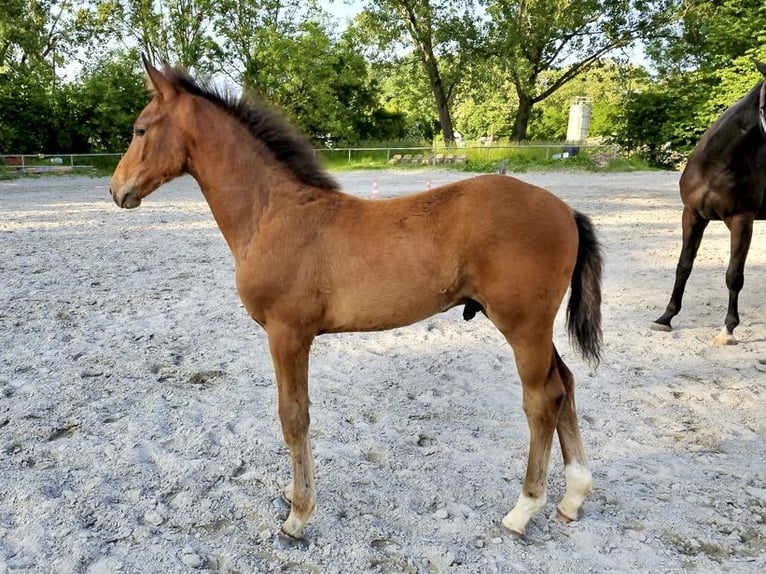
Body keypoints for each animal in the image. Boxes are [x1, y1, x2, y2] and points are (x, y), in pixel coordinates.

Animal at [109, 56, 608, 544]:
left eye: (139, 129)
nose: (117, 190)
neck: (272, 214)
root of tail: (566, 210)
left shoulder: (287, 334)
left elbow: (293, 417)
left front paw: (298, 515)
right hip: (533, 328)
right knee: (565, 384)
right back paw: (572, 498)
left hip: (523, 326)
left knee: (542, 401)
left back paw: (523, 511)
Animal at [656, 62, 766, 346]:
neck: (717, 164)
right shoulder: (693, 215)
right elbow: (684, 266)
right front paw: (666, 317)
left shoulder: (742, 220)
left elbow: (734, 275)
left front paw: (728, 329)